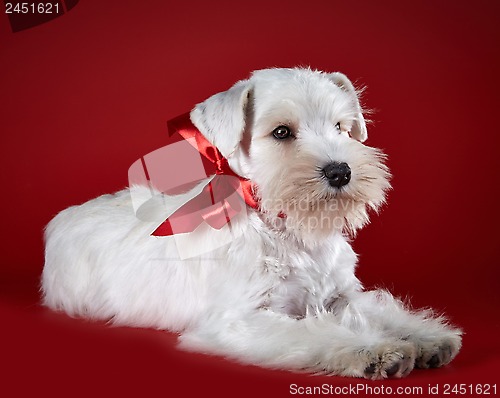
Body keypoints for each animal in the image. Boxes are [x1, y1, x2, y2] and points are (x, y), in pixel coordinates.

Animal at [42, 67, 460, 380]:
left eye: (341, 127)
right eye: (281, 132)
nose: (341, 172)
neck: (290, 231)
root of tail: (67, 214)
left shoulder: (341, 296)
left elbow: (376, 308)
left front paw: (425, 335)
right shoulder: (241, 320)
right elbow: (315, 331)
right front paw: (375, 349)